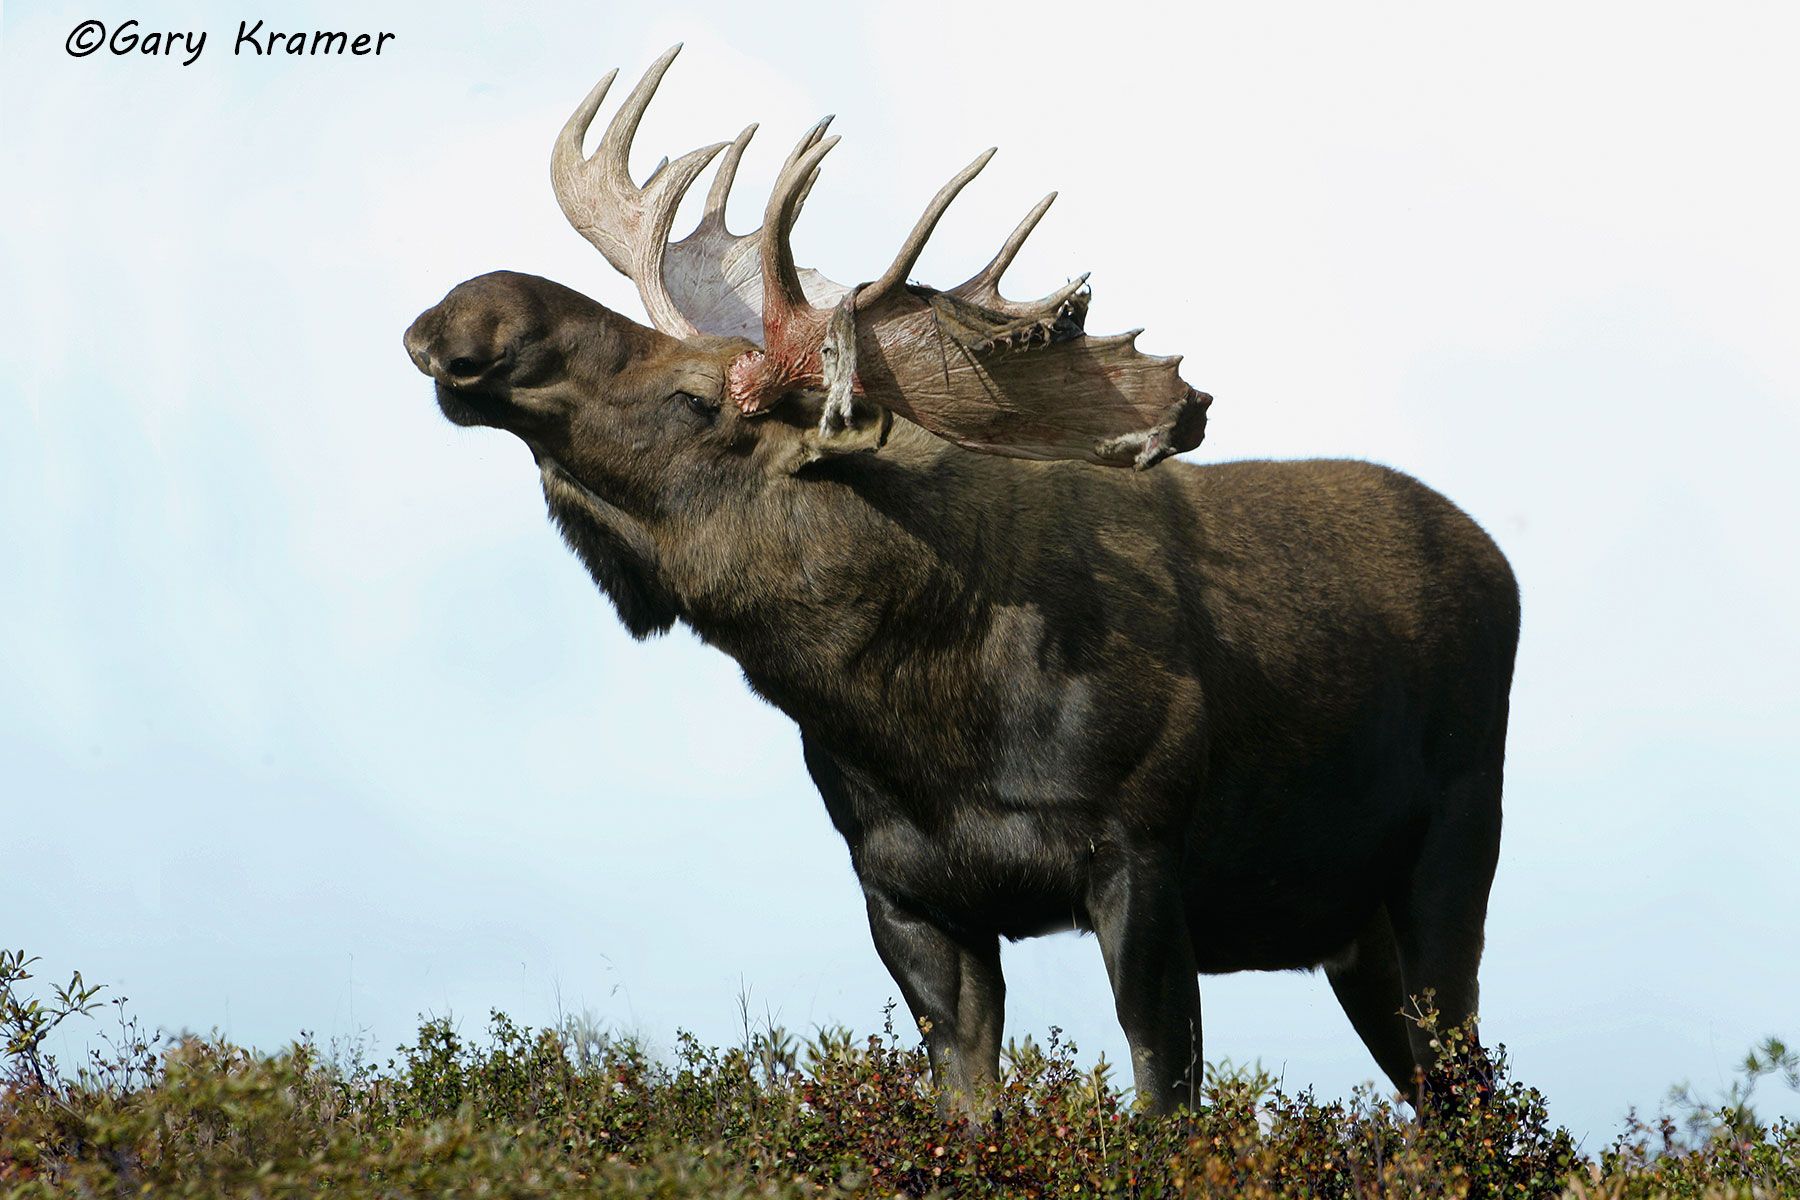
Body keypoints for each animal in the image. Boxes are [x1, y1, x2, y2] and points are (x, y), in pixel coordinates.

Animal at [403, 46, 1520, 1117]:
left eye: (696, 396)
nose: (469, 313)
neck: (915, 723)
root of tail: (1500, 562)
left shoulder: (1141, 852)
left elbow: (1164, 1102)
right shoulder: (906, 894)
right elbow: (967, 1115)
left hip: (1453, 852)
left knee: (1476, 1098)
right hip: (1354, 934)